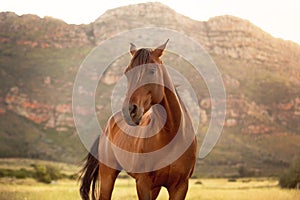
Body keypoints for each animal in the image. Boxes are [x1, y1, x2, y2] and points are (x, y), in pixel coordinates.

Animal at [79, 39, 197, 199]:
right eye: (127, 72)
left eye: (152, 71)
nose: (129, 110)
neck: (171, 133)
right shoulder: (143, 183)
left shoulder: (180, 186)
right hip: (108, 175)